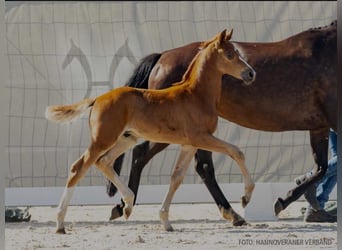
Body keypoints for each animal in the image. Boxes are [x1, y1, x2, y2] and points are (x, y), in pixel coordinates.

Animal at [44, 29, 256, 234]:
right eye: (230, 54)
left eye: (237, 52)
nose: (251, 73)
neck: (195, 95)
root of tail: (97, 99)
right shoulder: (201, 137)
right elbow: (236, 151)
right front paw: (245, 197)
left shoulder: (189, 144)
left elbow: (176, 178)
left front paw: (166, 221)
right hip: (103, 139)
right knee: (78, 168)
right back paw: (60, 224)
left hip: (127, 139)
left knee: (103, 161)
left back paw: (128, 205)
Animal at [109, 20, 336, 227]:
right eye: (229, 54)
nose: (251, 73)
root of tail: (162, 57)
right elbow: (324, 168)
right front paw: (282, 201)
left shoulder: (320, 127)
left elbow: (321, 167)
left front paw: (292, 199)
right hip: (170, 133)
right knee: (143, 155)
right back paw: (124, 206)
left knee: (200, 167)